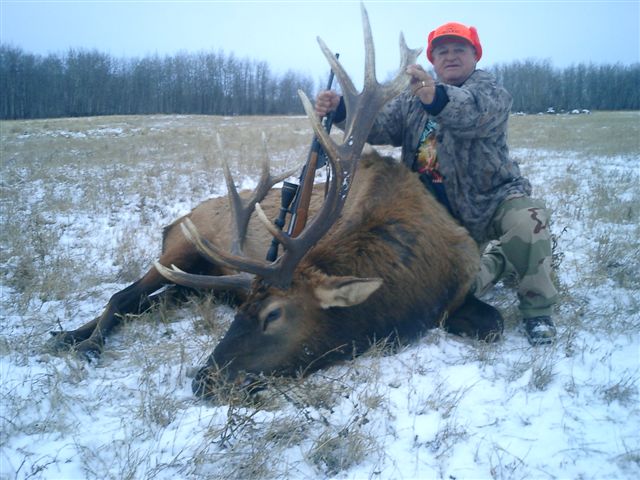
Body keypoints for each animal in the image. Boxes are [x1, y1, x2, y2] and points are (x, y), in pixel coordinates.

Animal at [50, 5, 503, 398]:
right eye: (241, 312)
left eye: (273, 314)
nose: (203, 379)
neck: (416, 289)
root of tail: (175, 222)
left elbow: (494, 322)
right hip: (178, 252)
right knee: (123, 296)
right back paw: (79, 341)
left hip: (195, 282)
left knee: (145, 301)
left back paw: (67, 337)